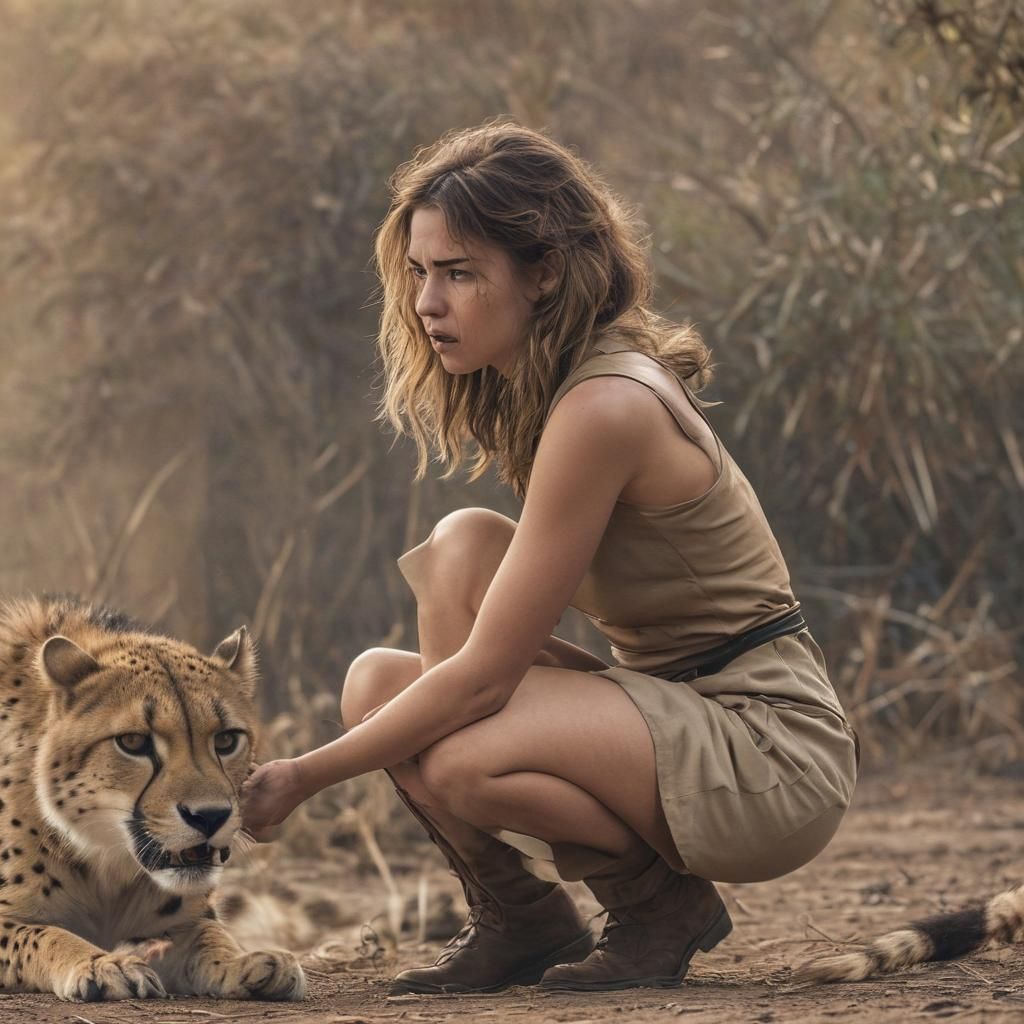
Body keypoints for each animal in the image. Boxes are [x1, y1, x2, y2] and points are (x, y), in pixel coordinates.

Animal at [0, 594, 305, 1002]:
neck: (105, 861)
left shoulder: (179, 923)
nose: (210, 816)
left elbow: (212, 936)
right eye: (132, 742)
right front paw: (101, 964)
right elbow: (47, 936)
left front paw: (245, 962)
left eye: (226, 740)